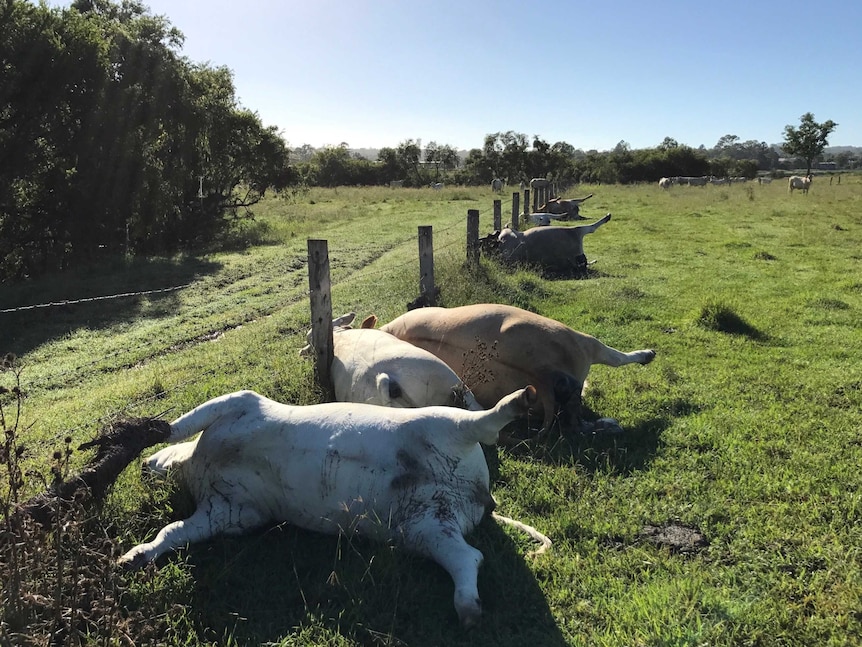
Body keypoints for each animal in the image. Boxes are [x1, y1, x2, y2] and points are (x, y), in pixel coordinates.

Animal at [118, 384, 552, 628]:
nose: (143, 466)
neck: (199, 463)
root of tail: (480, 493)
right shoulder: (232, 513)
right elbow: (173, 531)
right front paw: (132, 559)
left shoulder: (239, 403)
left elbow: (179, 425)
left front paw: (140, 434)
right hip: (426, 528)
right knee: (468, 557)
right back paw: (468, 611)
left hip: (442, 422)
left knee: (483, 424)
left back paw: (520, 401)